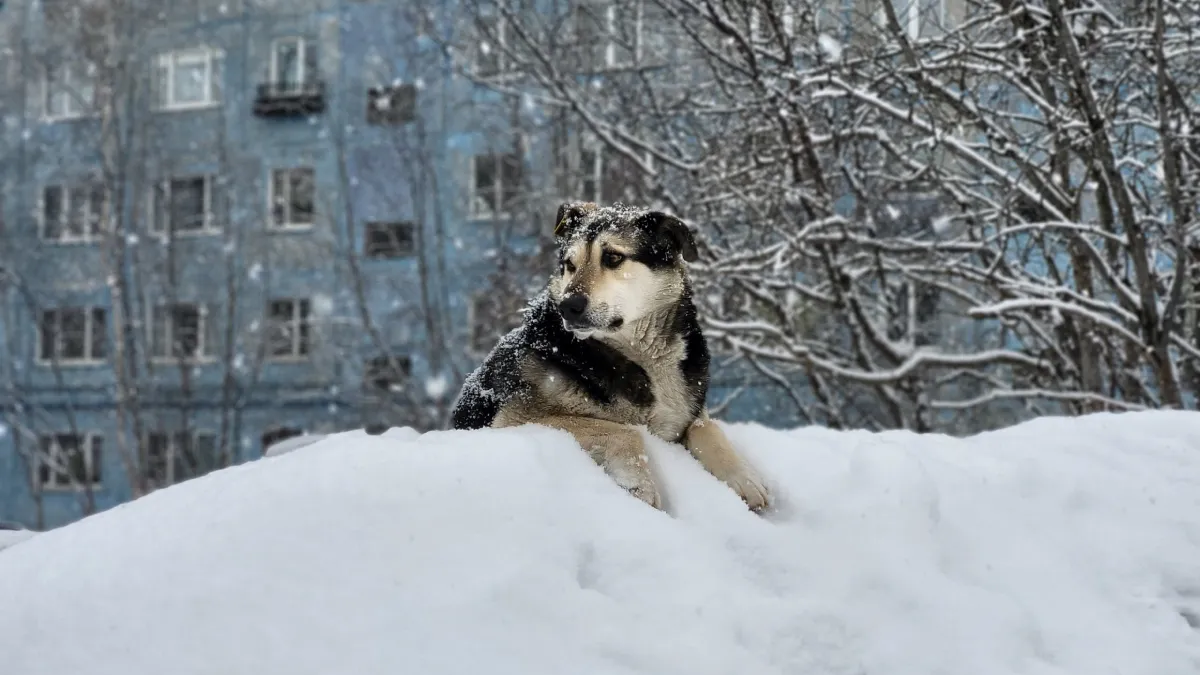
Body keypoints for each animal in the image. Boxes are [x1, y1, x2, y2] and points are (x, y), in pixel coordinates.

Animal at [448, 199, 768, 509]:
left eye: (613, 258)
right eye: (569, 264)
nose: (568, 306)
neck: (644, 358)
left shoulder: (686, 414)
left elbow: (707, 428)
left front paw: (744, 479)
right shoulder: (512, 420)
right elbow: (626, 432)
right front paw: (639, 486)